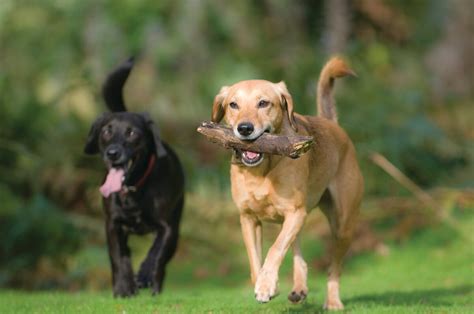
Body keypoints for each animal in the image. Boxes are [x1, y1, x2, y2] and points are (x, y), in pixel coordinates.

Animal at [84, 58, 184, 296]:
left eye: (132, 133)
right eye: (106, 131)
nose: (113, 153)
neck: (133, 189)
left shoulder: (167, 227)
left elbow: (156, 253)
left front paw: (145, 275)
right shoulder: (112, 225)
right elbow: (119, 258)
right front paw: (123, 288)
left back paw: (154, 286)